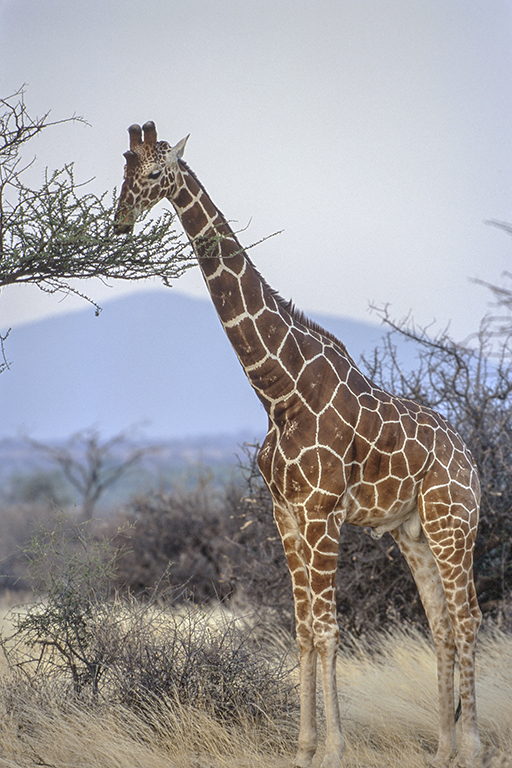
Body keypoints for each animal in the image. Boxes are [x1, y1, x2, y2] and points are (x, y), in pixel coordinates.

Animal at [114, 121, 482, 768]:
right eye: (121, 168)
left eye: (156, 172)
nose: (119, 221)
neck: (278, 390)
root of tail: (472, 463)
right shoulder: (284, 512)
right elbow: (303, 627)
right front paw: (305, 746)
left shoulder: (320, 512)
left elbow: (329, 628)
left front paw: (334, 748)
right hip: (413, 533)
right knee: (442, 622)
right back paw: (442, 749)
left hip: (451, 524)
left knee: (467, 619)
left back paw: (474, 745)